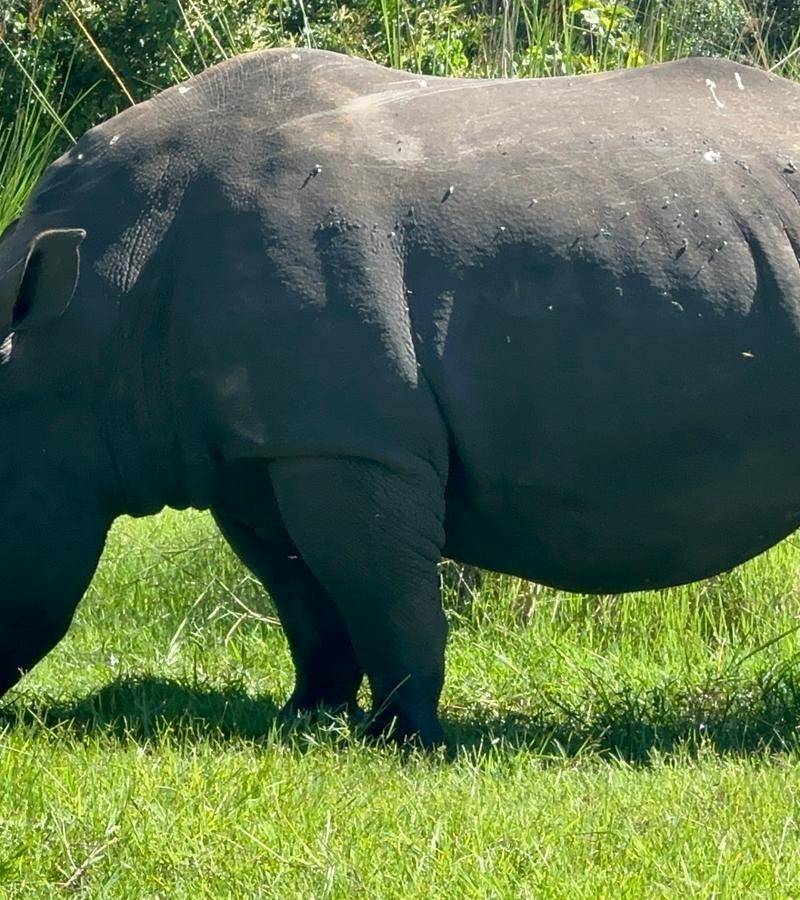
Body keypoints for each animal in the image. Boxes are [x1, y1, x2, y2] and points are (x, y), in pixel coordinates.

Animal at [1, 48, 799, 744]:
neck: (85, 332)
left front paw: (404, 739)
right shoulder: (253, 451)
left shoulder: (351, 441)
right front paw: (307, 719)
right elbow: (305, 603)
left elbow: (384, 598)